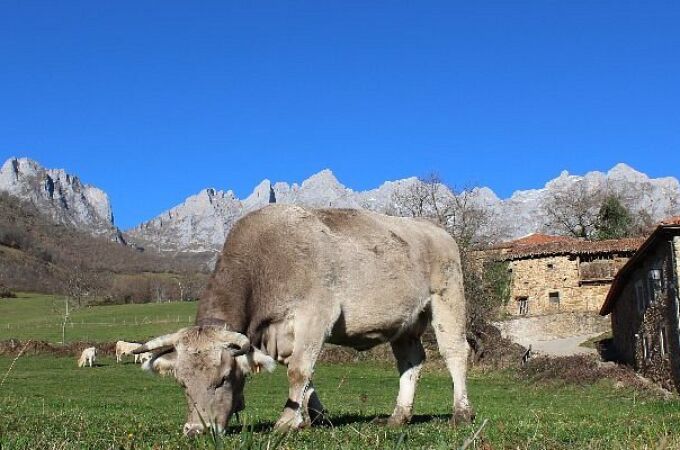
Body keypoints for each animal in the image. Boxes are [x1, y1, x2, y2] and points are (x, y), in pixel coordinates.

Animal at [133, 205, 472, 436]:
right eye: (181, 383)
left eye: (224, 378)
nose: (196, 431)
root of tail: (436, 230)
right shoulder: (280, 335)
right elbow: (306, 376)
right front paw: (315, 417)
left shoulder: (316, 314)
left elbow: (299, 370)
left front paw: (286, 421)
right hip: (404, 323)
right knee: (411, 362)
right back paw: (398, 417)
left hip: (447, 299)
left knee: (455, 353)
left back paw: (461, 413)